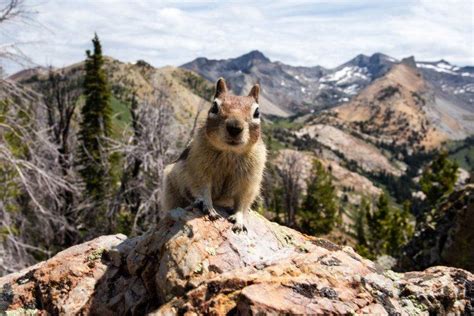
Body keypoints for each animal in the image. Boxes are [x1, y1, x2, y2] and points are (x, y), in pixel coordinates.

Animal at [161, 78, 266, 233]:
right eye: (214, 107)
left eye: (257, 112)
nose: (234, 127)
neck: (229, 152)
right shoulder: (198, 168)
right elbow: (202, 188)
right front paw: (207, 206)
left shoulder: (249, 180)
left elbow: (242, 201)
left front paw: (239, 219)